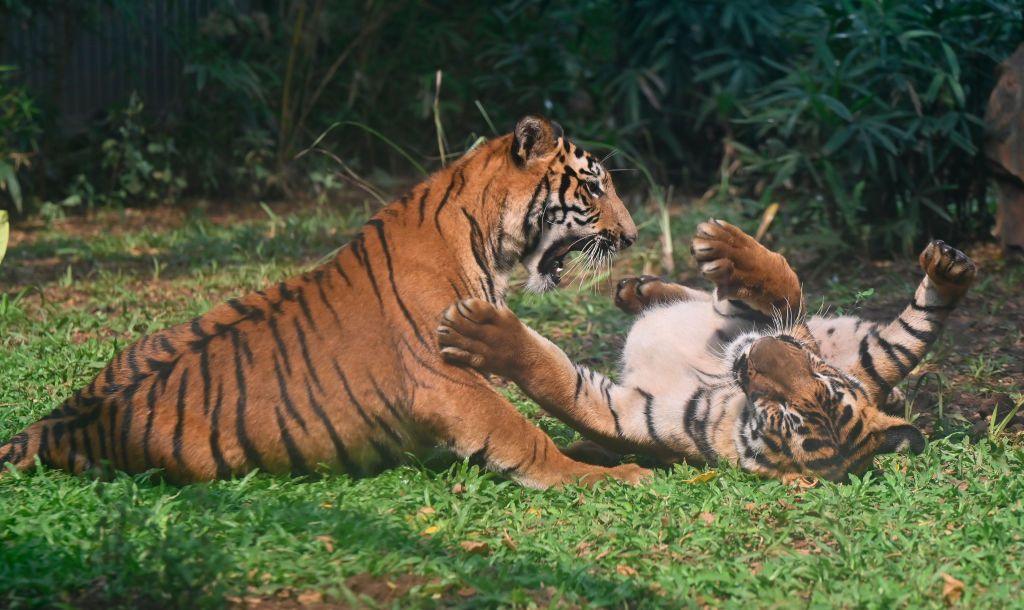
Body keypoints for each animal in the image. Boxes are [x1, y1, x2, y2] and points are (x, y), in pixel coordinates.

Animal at [0, 114, 651, 489]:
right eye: (593, 187)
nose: (633, 235)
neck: (482, 234)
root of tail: (61, 422)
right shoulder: (448, 382)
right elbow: (523, 436)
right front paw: (607, 475)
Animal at [438, 219, 974, 481]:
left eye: (784, 416)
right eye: (817, 376)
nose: (759, 354)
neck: (728, 387)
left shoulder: (622, 413)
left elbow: (552, 376)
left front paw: (480, 333)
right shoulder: (784, 328)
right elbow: (784, 283)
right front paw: (725, 244)